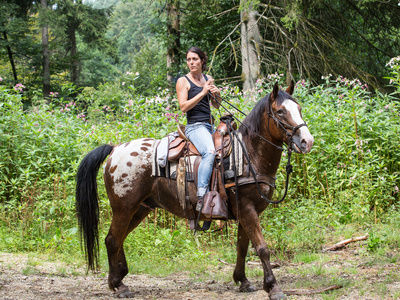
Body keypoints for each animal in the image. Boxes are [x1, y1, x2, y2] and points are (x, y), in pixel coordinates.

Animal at [75, 82, 312, 300]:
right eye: (280, 112)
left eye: (299, 108)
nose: (307, 141)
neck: (248, 155)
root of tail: (115, 149)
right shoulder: (247, 209)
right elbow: (262, 248)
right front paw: (273, 287)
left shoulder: (246, 211)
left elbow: (242, 246)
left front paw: (242, 280)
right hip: (123, 208)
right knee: (112, 240)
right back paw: (119, 285)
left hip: (140, 208)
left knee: (118, 238)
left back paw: (117, 279)